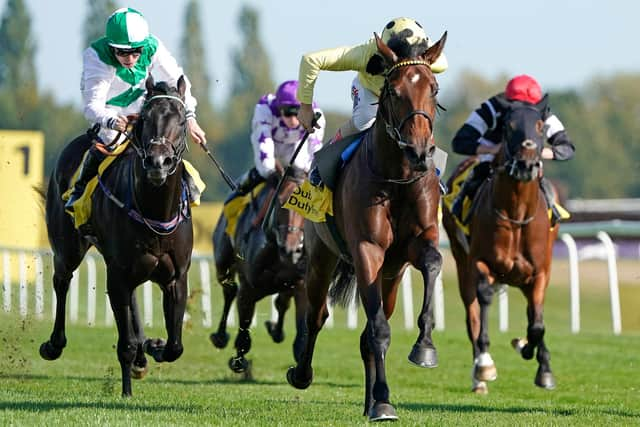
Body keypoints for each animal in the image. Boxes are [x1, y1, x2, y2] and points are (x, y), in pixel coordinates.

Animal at [40, 76, 194, 398]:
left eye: (181, 120)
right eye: (145, 119)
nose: (158, 162)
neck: (155, 210)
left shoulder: (176, 277)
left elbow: (175, 346)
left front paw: (154, 346)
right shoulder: (118, 274)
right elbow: (125, 344)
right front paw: (126, 390)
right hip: (68, 247)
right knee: (62, 281)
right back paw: (53, 345)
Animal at [210, 167, 308, 374]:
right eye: (280, 202)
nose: (291, 248)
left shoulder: (300, 283)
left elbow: (301, 332)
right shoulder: (249, 287)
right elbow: (244, 325)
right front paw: (238, 360)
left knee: (281, 302)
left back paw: (276, 330)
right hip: (223, 260)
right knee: (229, 290)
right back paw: (220, 336)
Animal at [288, 32, 448, 422]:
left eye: (434, 88)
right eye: (394, 90)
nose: (420, 152)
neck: (397, 178)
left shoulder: (415, 245)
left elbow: (433, 262)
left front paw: (424, 347)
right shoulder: (367, 251)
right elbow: (378, 331)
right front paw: (385, 401)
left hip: (391, 274)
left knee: (364, 333)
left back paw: (371, 399)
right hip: (321, 258)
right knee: (316, 316)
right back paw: (304, 374)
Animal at [442, 96, 556, 394]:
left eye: (540, 126)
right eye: (509, 126)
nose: (526, 164)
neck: (516, 216)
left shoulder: (539, 273)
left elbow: (537, 325)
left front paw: (533, 356)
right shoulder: (481, 263)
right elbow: (483, 305)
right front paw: (484, 365)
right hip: (461, 263)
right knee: (472, 315)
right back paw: (478, 377)